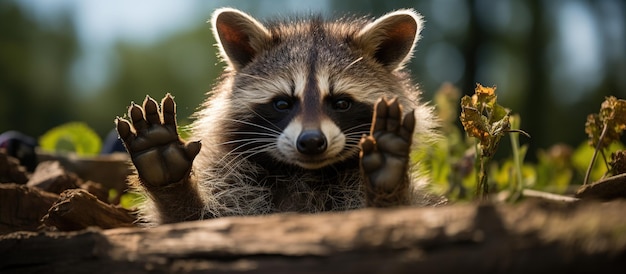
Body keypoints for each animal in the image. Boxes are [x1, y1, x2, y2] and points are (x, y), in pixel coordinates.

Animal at [117, 7, 438, 225]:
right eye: (283, 103)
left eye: (341, 103)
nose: (311, 142)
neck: (305, 174)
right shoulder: (231, 181)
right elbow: (193, 223)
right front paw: (171, 183)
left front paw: (387, 184)